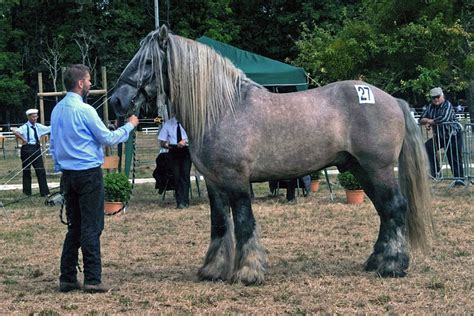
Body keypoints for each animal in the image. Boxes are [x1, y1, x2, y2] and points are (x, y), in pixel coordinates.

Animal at [110, 26, 434, 284]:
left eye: (148, 61)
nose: (117, 101)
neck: (224, 109)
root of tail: (392, 100)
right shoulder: (214, 183)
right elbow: (219, 225)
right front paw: (213, 270)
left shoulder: (237, 180)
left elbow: (244, 223)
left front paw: (248, 272)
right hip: (360, 170)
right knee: (384, 212)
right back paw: (375, 262)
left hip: (378, 169)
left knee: (395, 208)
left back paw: (392, 266)